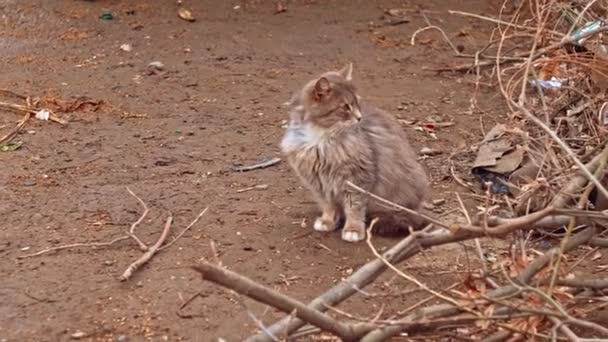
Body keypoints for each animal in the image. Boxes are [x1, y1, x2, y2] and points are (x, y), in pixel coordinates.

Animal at [278, 63, 430, 240]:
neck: (320, 139)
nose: (359, 117)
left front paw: (353, 229)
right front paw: (328, 221)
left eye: (357, 103)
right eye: (345, 107)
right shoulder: (319, 182)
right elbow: (328, 205)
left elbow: (354, 208)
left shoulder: (356, 178)